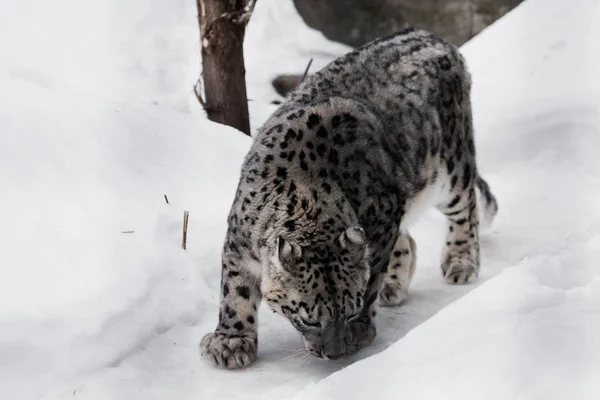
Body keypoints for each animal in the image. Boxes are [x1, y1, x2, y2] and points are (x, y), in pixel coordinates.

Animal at [200, 28, 496, 368]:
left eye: (350, 310)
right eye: (309, 319)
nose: (334, 353)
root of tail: (432, 36)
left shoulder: (381, 222)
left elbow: (372, 274)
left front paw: (361, 328)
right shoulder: (239, 239)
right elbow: (235, 290)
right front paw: (231, 341)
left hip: (451, 168)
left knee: (465, 208)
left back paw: (460, 262)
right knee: (408, 238)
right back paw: (394, 286)